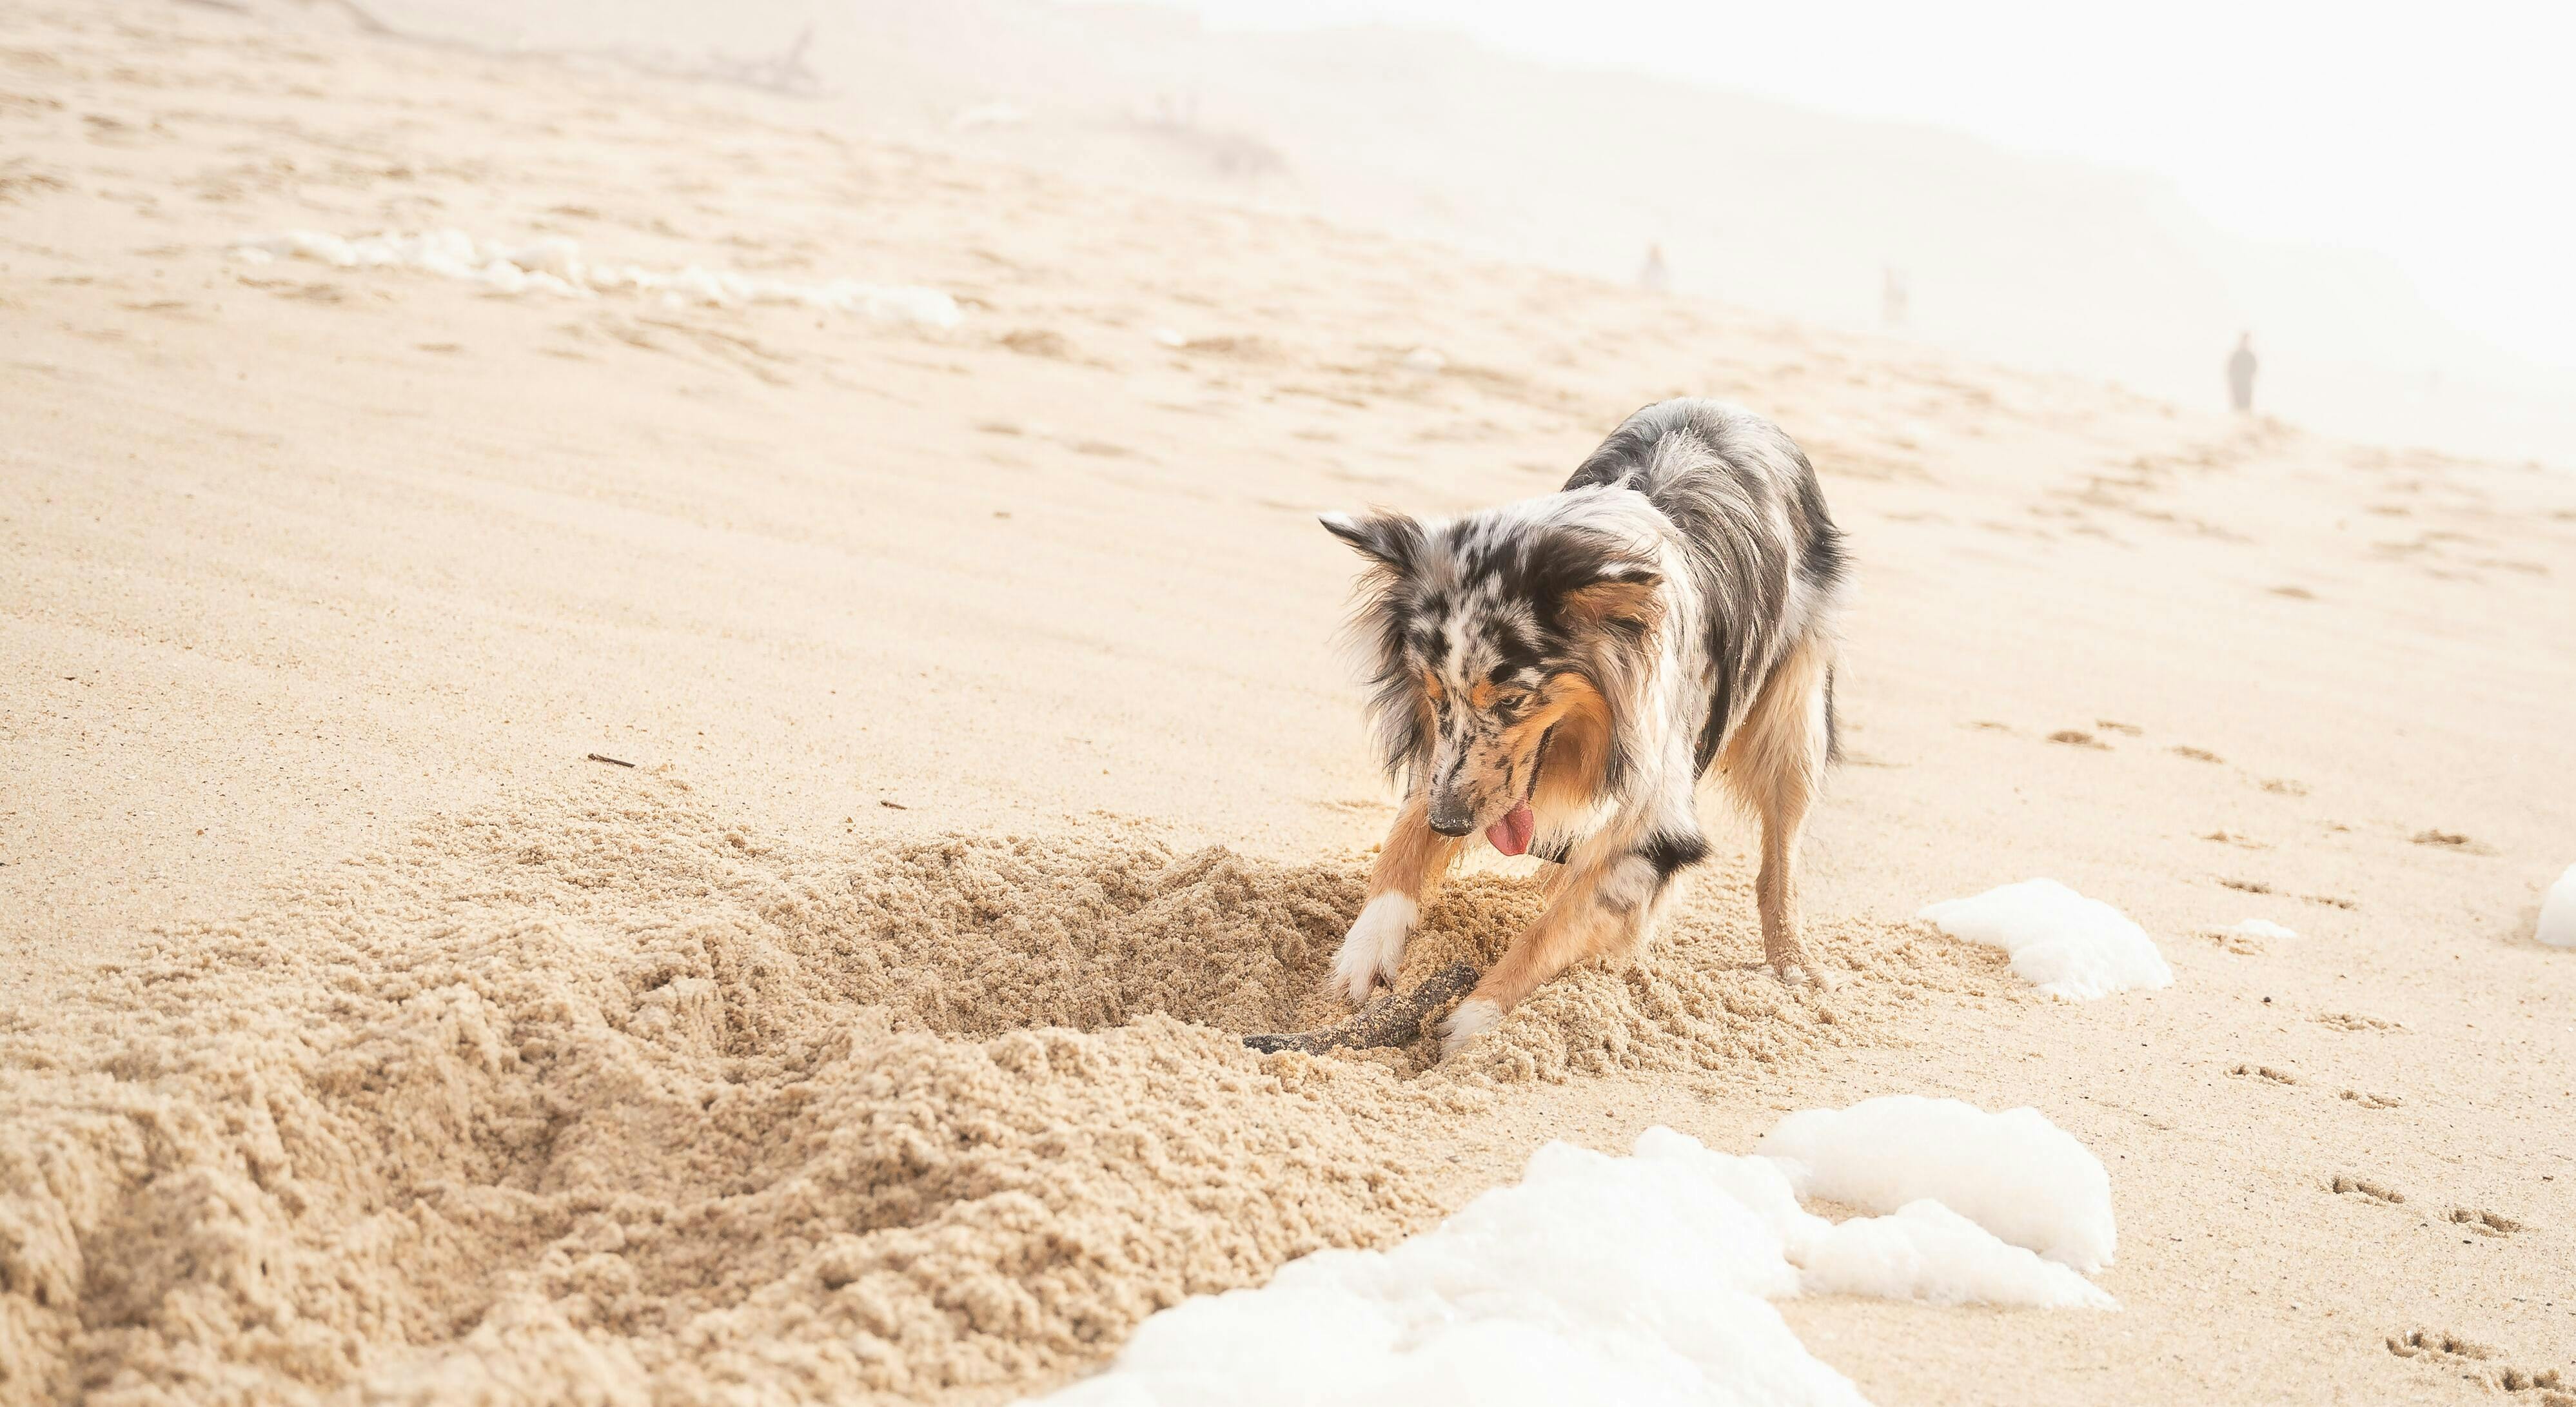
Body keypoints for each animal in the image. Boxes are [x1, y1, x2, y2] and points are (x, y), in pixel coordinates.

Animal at [1319, 394, 1844, 1051]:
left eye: (1513, 699)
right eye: (1435, 694)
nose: (1451, 823)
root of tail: (1730, 404)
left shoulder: (1655, 816)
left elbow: (1553, 928)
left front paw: (1476, 1021)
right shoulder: (1443, 767)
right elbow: (1404, 842)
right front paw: (1363, 954)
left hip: (1793, 721)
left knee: (1780, 856)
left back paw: (1792, 963)